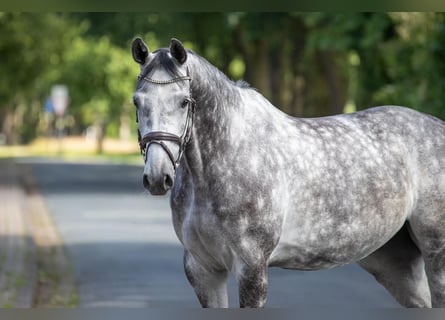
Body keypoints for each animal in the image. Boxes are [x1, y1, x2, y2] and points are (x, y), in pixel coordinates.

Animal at [130, 37, 444, 308]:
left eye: (184, 101)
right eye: (137, 101)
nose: (157, 177)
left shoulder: (252, 269)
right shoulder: (203, 269)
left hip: (435, 252)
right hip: (394, 263)